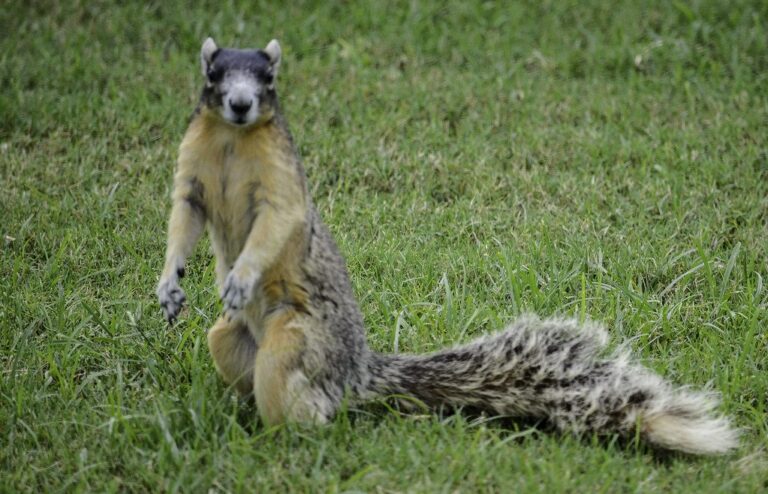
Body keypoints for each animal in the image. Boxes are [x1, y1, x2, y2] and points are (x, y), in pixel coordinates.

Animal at [156, 37, 739, 455]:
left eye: (269, 79)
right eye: (212, 75)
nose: (240, 103)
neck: (233, 142)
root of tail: (358, 373)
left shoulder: (281, 190)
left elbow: (273, 227)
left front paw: (240, 277)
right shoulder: (191, 178)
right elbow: (184, 218)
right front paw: (169, 285)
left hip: (295, 341)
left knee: (305, 401)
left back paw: (283, 439)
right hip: (228, 340)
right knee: (242, 363)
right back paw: (236, 414)